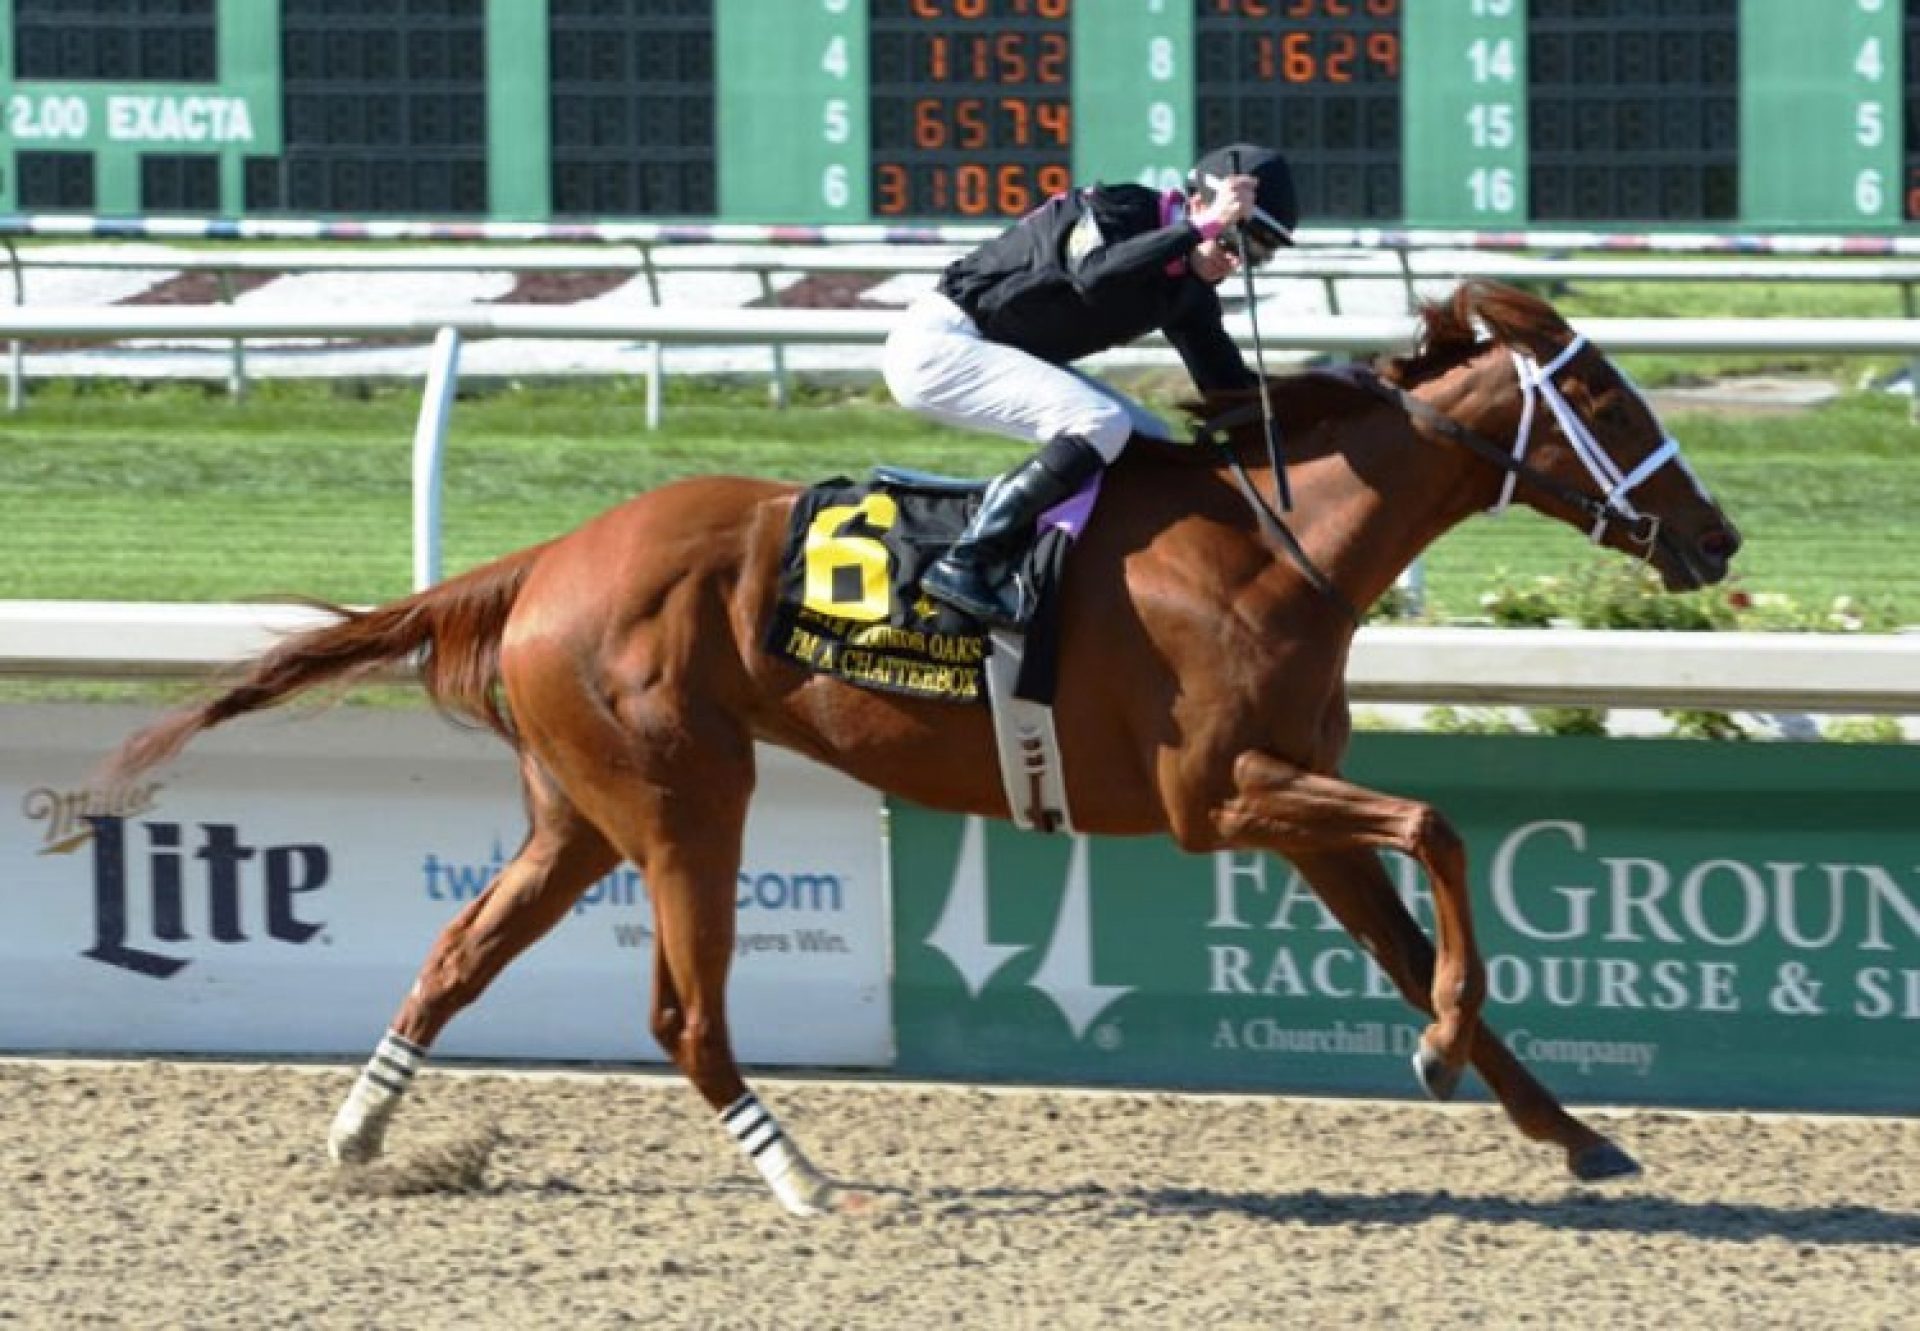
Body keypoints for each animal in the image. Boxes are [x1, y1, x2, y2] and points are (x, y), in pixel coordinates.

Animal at [112, 282, 1751, 1213]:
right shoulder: (1222, 797)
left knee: (460, 952)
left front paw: (1568, 1129)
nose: (1718, 536)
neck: (1273, 549)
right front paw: (1446, 1055)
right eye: (1600, 396)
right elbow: (1439, 828)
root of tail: (548, 559)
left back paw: (359, 1134)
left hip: (579, 809)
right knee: (683, 1015)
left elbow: (1413, 930)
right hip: (688, 793)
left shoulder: (1287, 807)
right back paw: (796, 1172)